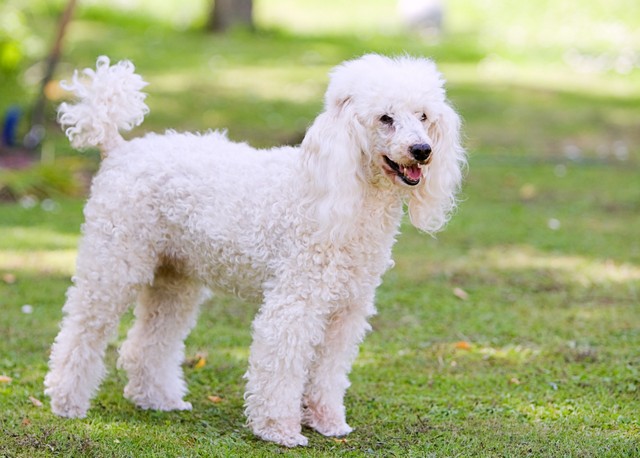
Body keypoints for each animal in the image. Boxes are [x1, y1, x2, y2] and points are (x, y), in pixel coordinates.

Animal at [45, 52, 464, 446]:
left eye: (424, 116)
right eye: (385, 118)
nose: (422, 150)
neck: (347, 192)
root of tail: (119, 148)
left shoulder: (345, 309)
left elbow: (329, 372)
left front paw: (328, 421)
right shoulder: (294, 304)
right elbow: (281, 366)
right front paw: (279, 429)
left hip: (174, 277)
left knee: (149, 340)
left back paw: (156, 398)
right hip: (114, 263)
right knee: (82, 331)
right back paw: (66, 402)